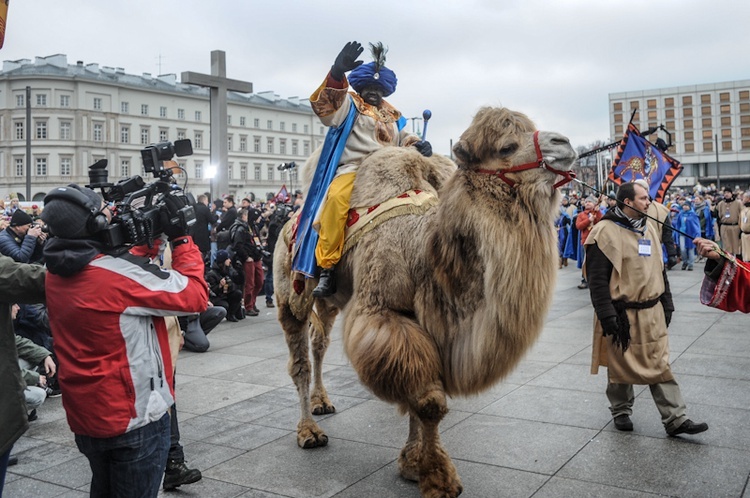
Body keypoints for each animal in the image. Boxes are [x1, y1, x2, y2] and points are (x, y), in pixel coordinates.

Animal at [274, 106, 580, 498]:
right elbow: (429, 401)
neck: (421, 249)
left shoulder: (429, 323)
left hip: (330, 299)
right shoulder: (384, 314)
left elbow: (418, 397)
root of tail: (291, 222)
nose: (564, 143)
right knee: (298, 358)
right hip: (290, 292)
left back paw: (321, 401)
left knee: (319, 340)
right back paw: (309, 432)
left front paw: (412, 462)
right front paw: (438, 478)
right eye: (507, 147)